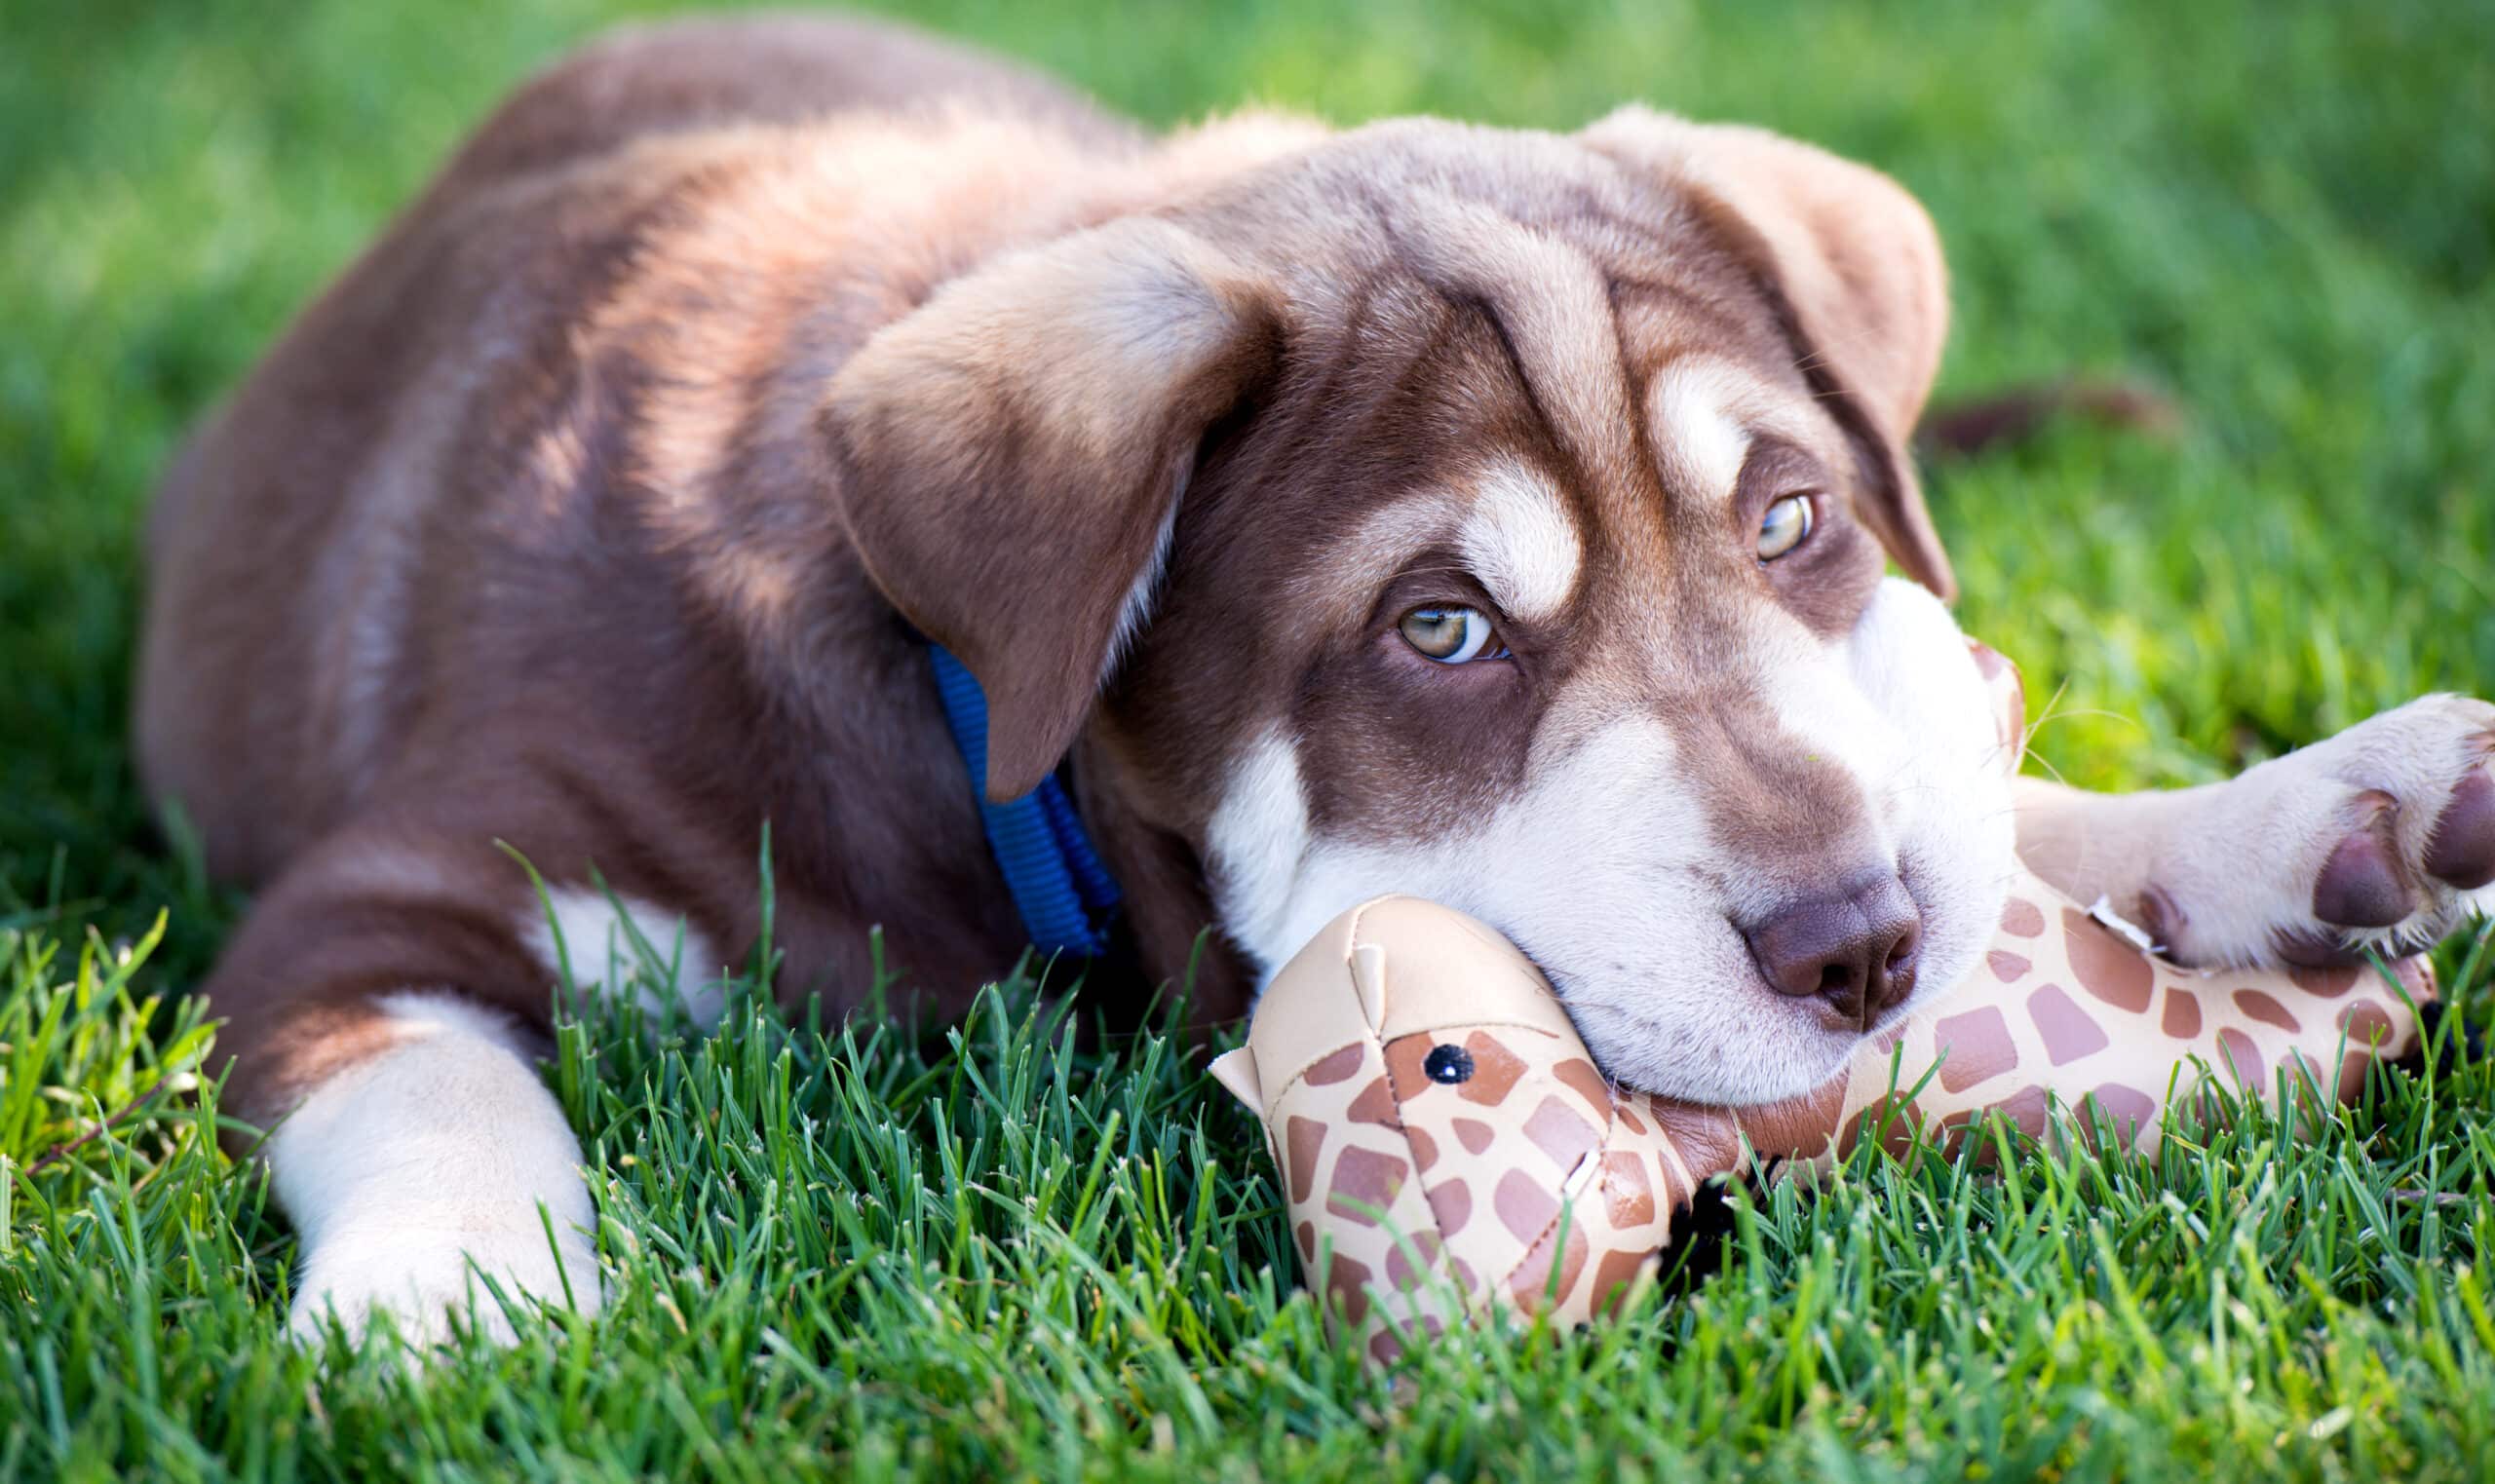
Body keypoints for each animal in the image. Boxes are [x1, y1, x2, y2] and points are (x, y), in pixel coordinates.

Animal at [136, 11, 2495, 1336]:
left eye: (1791, 521)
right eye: (1436, 629)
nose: (1861, 952)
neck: (969, 749)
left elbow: (1998, 801)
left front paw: (2311, 808)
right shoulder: (392, 888)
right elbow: (435, 1070)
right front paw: (447, 1304)